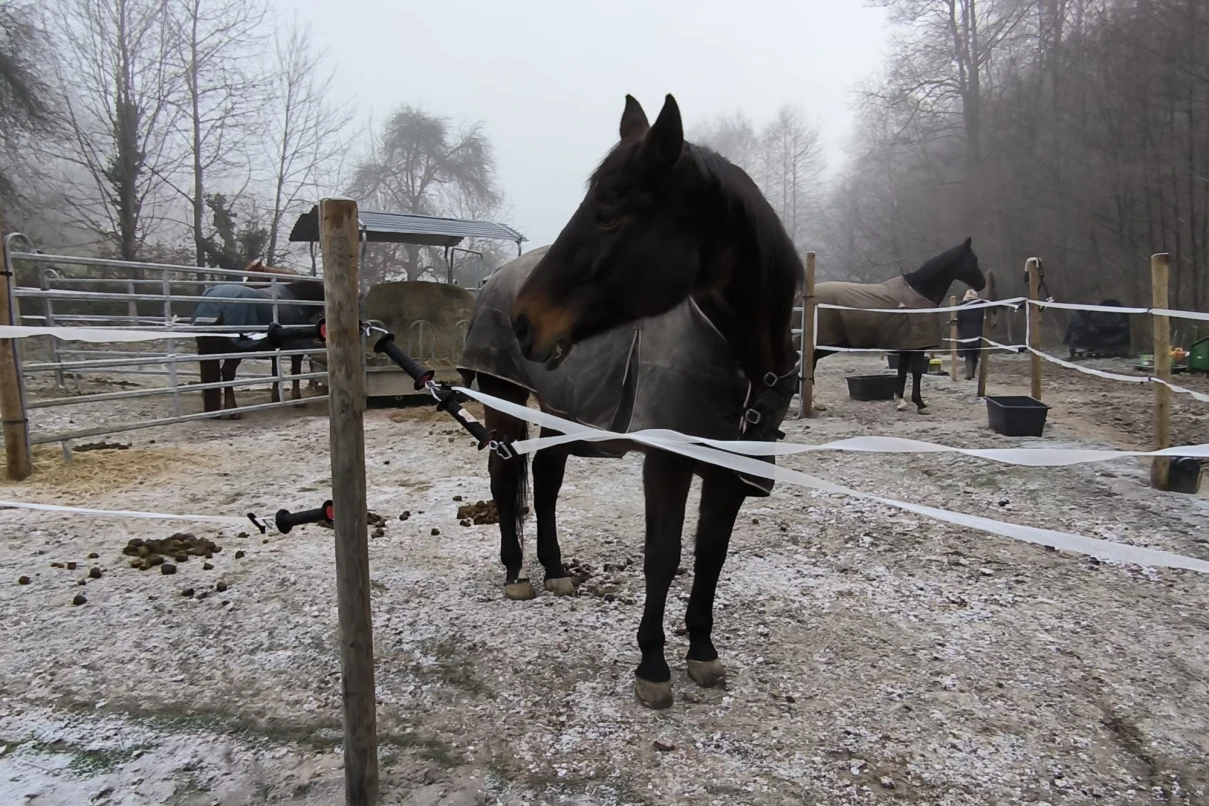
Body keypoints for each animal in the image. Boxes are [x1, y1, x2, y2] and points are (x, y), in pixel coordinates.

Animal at [191, 276, 324, 416]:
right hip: (236, 350)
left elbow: (275, 371)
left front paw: (276, 398)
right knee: (228, 372)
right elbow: (296, 373)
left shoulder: (274, 350)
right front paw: (298, 401)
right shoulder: (297, 348)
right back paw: (233, 410)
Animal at [457, 93, 803, 711]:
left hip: (560, 409)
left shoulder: (728, 466)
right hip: (502, 398)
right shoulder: (667, 460)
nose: (525, 322)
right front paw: (653, 665)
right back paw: (517, 573)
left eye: (609, 213)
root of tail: (496, 277)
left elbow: (711, 553)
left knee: (546, 481)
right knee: (505, 477)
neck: (740, 359)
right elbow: (662, 556)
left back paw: (556, 569)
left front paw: (703, 652)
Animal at [811, 240, 986, 414]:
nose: (982, 284)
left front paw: (901, 402)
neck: (919, 291)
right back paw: (815, 403)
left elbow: (902, 372)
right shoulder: (918, 347)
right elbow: (916, 373)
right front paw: (920, 404)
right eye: (974, 259)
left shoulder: (906, 345)